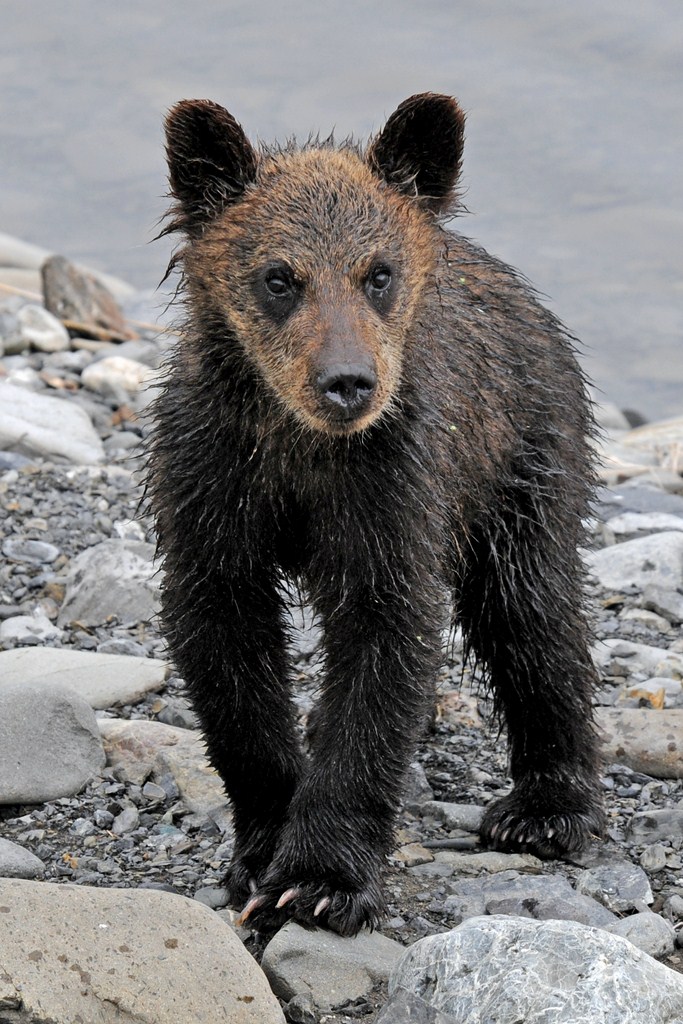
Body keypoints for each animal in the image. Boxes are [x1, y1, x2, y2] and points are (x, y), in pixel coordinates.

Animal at [150, 96, 602, 937]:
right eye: (279, 277)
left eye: (378, 273)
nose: (347, 382)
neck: (300, 450)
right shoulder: (214, 482)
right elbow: (225, 648)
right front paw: (262, 847)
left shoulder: (390, 491)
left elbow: (383, 644)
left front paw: (321, 880)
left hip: (520, 455)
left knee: (530, 613)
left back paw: (545, 807)